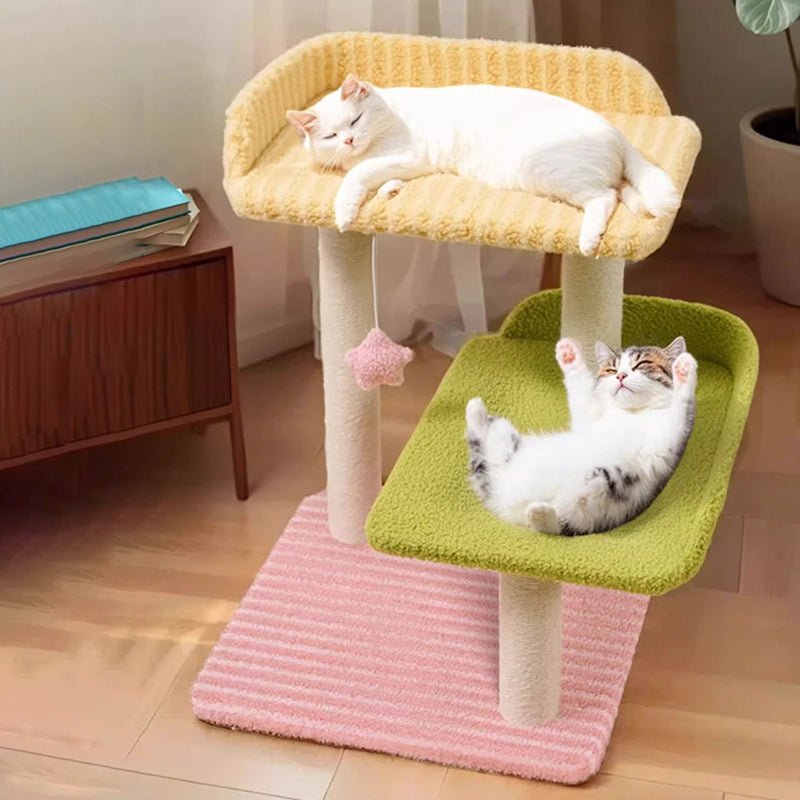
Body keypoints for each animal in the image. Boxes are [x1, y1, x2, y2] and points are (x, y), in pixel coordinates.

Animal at [286, 74, 679, 256]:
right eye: (331, 135)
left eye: (356, 121)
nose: (350, 140)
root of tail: (616, 132)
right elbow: (376, 177)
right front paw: (390, 190)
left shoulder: (408, 155)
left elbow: (356, 175)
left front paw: (345, 213)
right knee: (623, 191)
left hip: (548, 172)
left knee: (604, 198)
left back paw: (588, 240)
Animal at [465, 337, 696, 535]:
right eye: (611, 369)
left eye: (642, 364)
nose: (621, 376)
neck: (634, 412)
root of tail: (503, 504)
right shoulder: (587, 421)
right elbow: (582, 395)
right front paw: (568, 354)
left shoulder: (665, 442)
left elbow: (681, 407)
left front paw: (685, 369)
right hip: (504, 438)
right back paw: (475, 411)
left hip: (600, 489)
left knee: (558, 525)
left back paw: (540, 513)